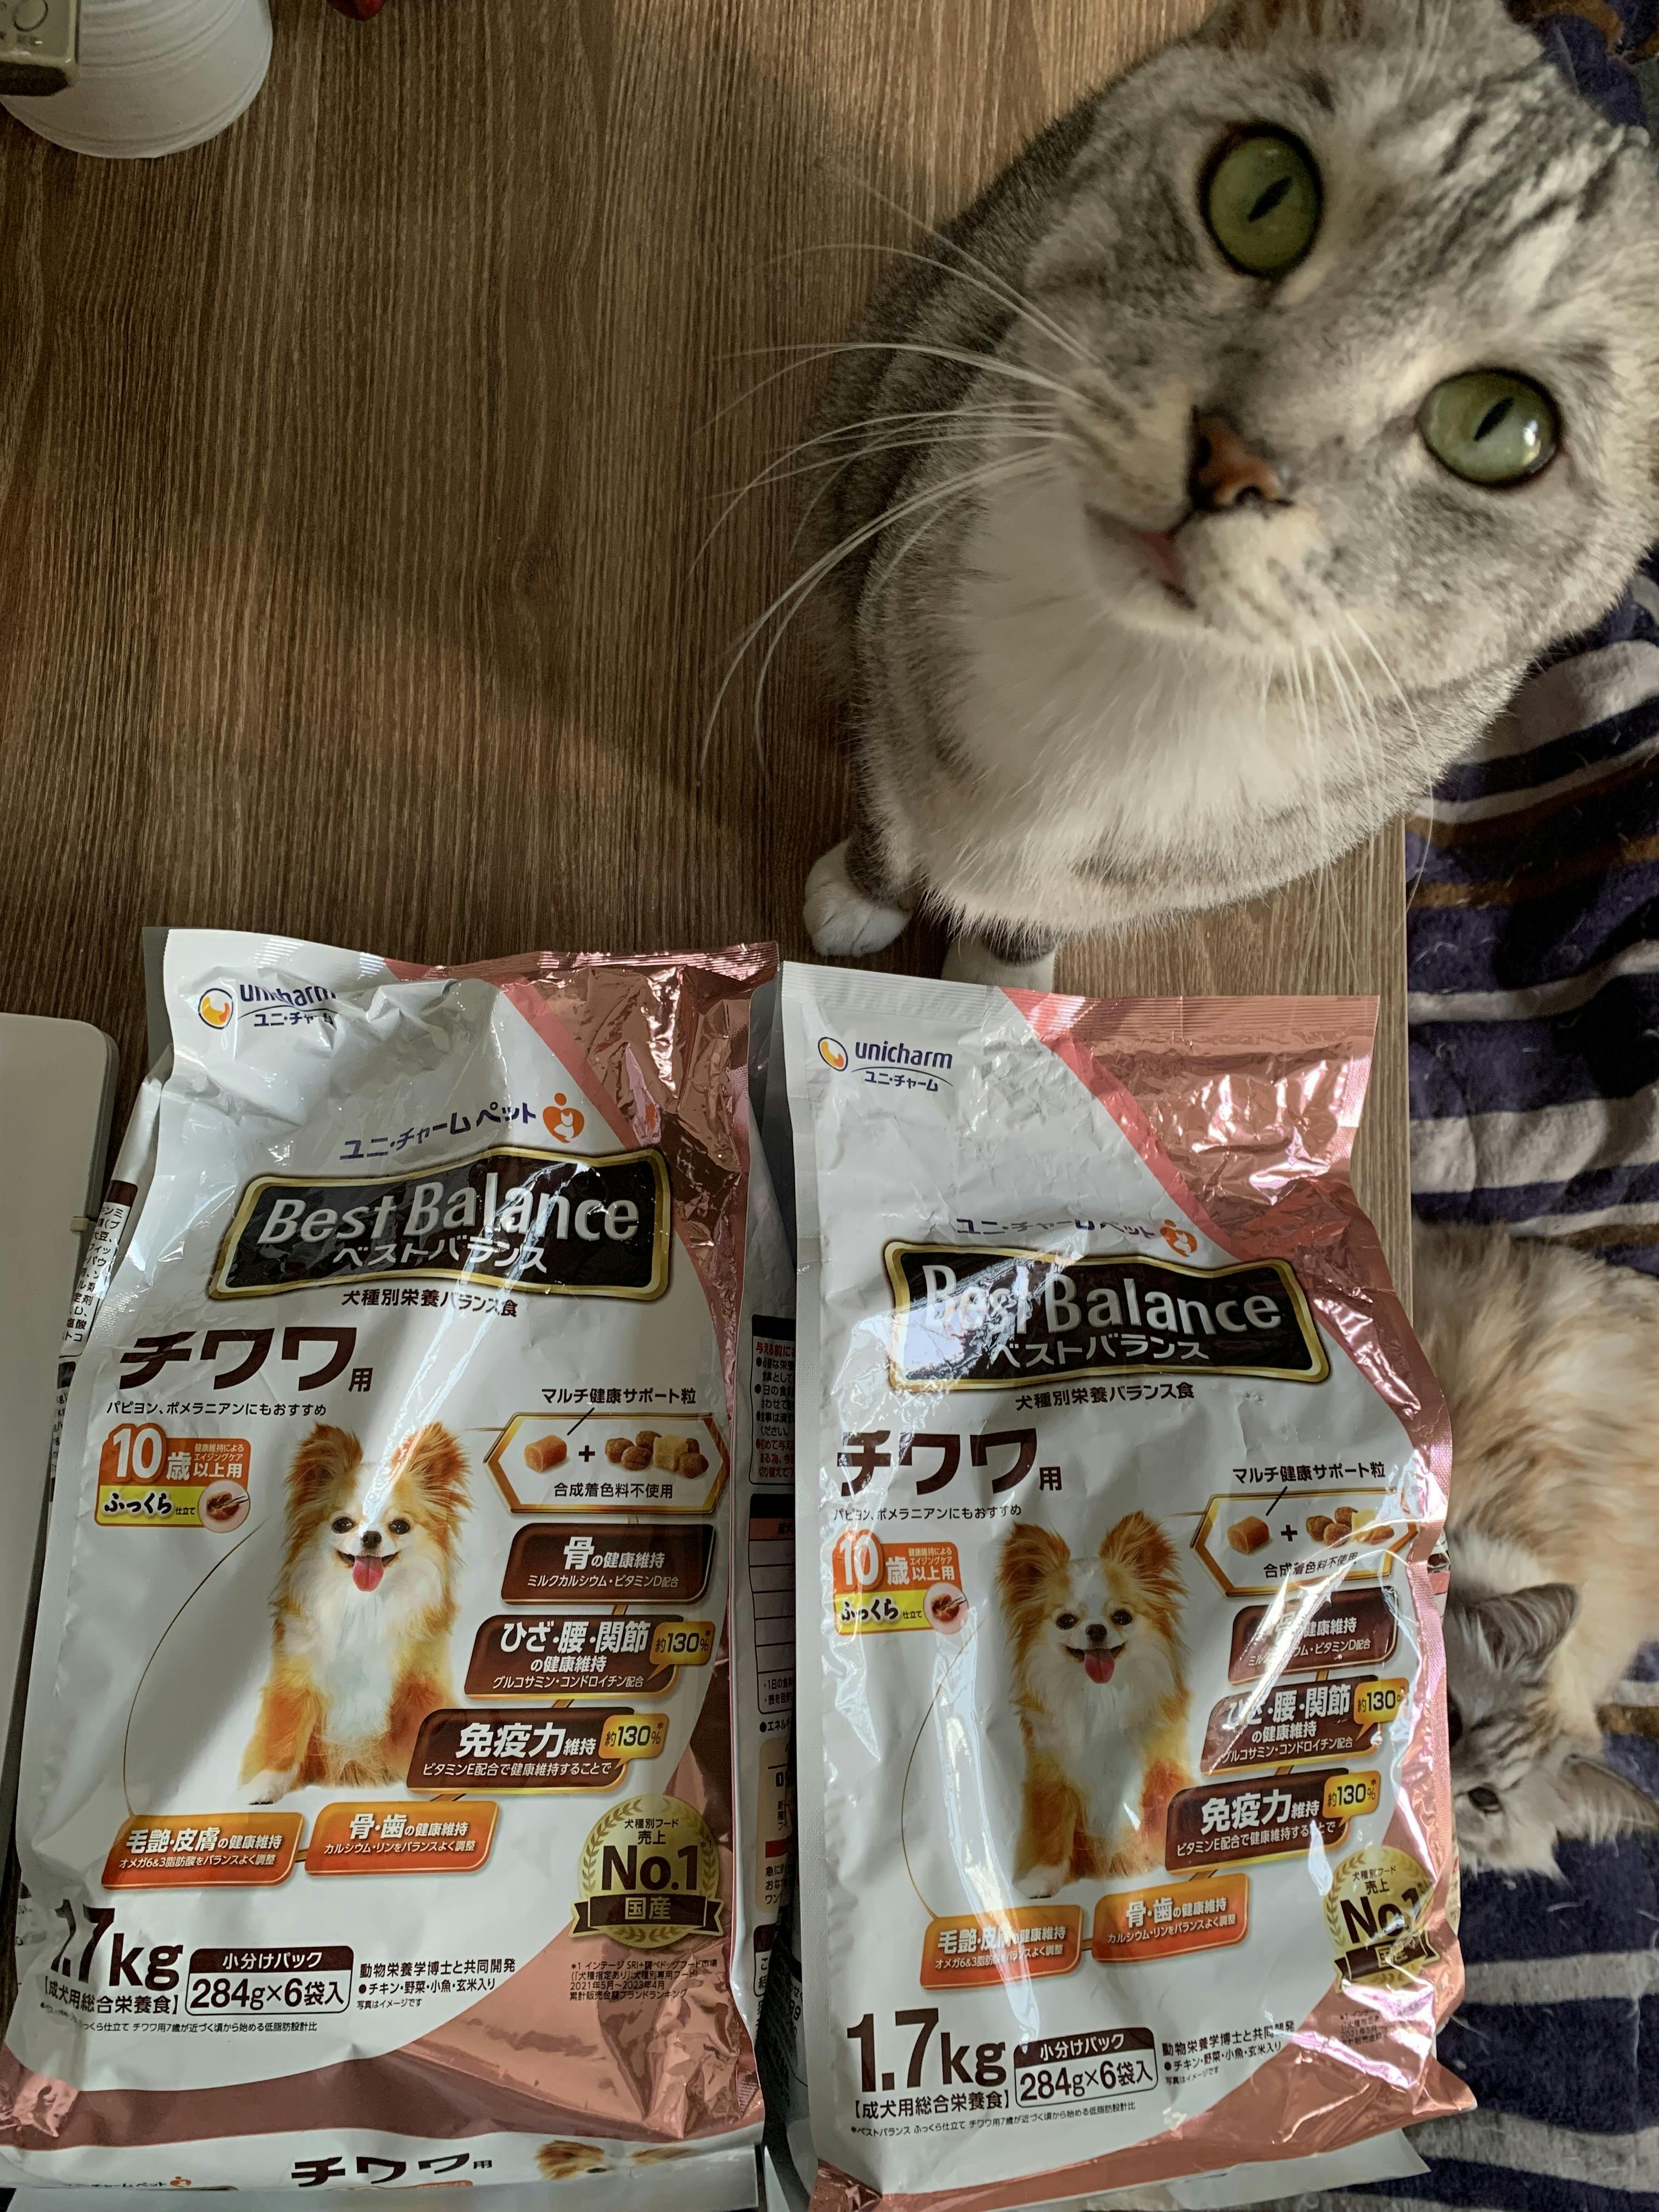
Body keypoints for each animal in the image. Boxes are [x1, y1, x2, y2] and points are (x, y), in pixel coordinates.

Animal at [240, 1422, 468, 1803]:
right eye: (343, 1524)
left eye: (400, 1526)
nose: (371, 1537)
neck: (364, 1604)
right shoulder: (297, 1677)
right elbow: (285, 1732)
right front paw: (265, 1784)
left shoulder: (419, 1682)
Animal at [797, 0, 1659, 989]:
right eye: (1265, 195)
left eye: (1498, 427)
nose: (1231, 459)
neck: (1132, 676)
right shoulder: (890, 649)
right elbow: (886, 814)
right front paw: (862, 895)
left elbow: (1031, 918)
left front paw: (1001, 979)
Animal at [998, 1511, 1190, 1893]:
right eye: (1066, 1621)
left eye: (1122, 1617)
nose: (1097, 1629)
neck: (1099, 1698)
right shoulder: (1052, 1774)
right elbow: (1053, 1828)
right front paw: (1043, 1879)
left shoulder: (1149, 1766)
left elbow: (1140, 1819)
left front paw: (1139, 1863)